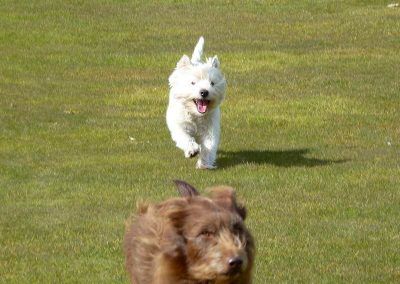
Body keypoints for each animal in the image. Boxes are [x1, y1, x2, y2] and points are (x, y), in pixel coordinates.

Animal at [166, 37, 227, 169]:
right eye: (193, 83)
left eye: (212, 83)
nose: (204, 92)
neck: (196, 115)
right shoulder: (180, 124)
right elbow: (185, 137)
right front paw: (192, 150)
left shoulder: (210, 128)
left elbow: (209, 144)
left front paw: (204, 163)